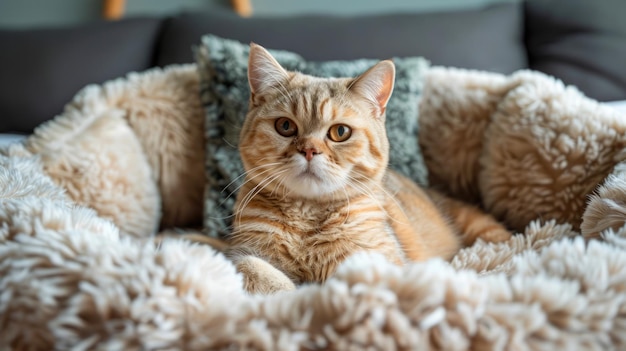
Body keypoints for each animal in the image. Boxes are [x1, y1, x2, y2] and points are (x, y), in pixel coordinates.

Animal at [190, 44, 508, 294]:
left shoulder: (379, 259)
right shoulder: (241, 252)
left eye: (340, 132)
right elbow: (256, 269)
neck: (308, 216)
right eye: (285, 126)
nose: (309, 150)